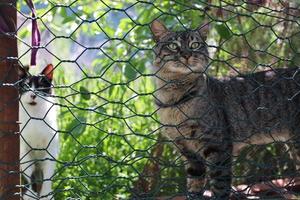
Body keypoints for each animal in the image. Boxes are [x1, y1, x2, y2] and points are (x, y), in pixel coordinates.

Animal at [18, 64, 59, 200]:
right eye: (26, 86)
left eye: (40, 86)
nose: (33, 95)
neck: (35, 117)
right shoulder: (23, 149)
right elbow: (28, 172)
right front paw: (30, 193)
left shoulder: (51, 149)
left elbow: (48, 175)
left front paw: (46, 193)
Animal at [151, 19, 300, 198]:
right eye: (173, 46)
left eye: (195, 45)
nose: (187, 54)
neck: (174, 100)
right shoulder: (188, 152)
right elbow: (194, 186)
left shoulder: (218, 146)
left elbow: (219, 186)